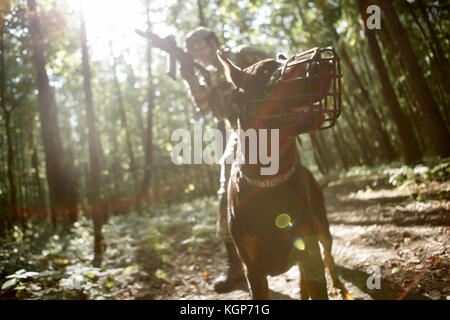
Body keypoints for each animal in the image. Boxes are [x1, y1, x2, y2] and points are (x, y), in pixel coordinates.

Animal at [218, 48, 344, 300]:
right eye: (265, 72)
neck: (269, 180)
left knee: (328, 254)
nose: (325, 64)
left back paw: (337, 284)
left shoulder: (309, 250)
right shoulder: (253, 270)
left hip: (321, 225)